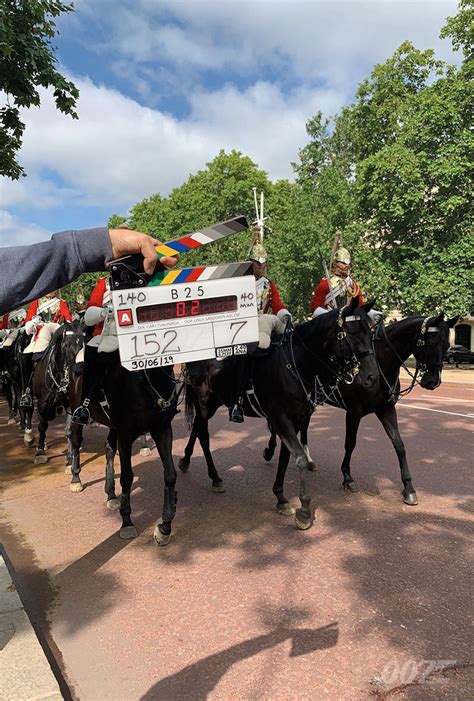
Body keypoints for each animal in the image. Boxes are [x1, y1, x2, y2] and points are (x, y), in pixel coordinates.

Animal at [181, 296, 378, 532]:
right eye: (352, 331)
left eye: (371, 332)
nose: (372, 377)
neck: (295, 364)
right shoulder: (280, 419)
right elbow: (299, 458)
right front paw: (304, 510)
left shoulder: (295, 420)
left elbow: (286, 458)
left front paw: (281, 498)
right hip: (205, 404)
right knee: (203, 436)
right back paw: (214, 476)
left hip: (211, 404)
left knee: (197, 430)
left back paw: (187, 461)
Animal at [264, 312, 458, 504]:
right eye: (431, 342)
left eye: (447, 345)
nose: (433, 381)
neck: (379, 364)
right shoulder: (354, 411)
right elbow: (350, 443)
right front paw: (347, 477)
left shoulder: (386, 410)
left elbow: (399, 444)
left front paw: (408, 488)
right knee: (275, 425)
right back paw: (270, 450)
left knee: (303, 427)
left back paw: (308, 459)